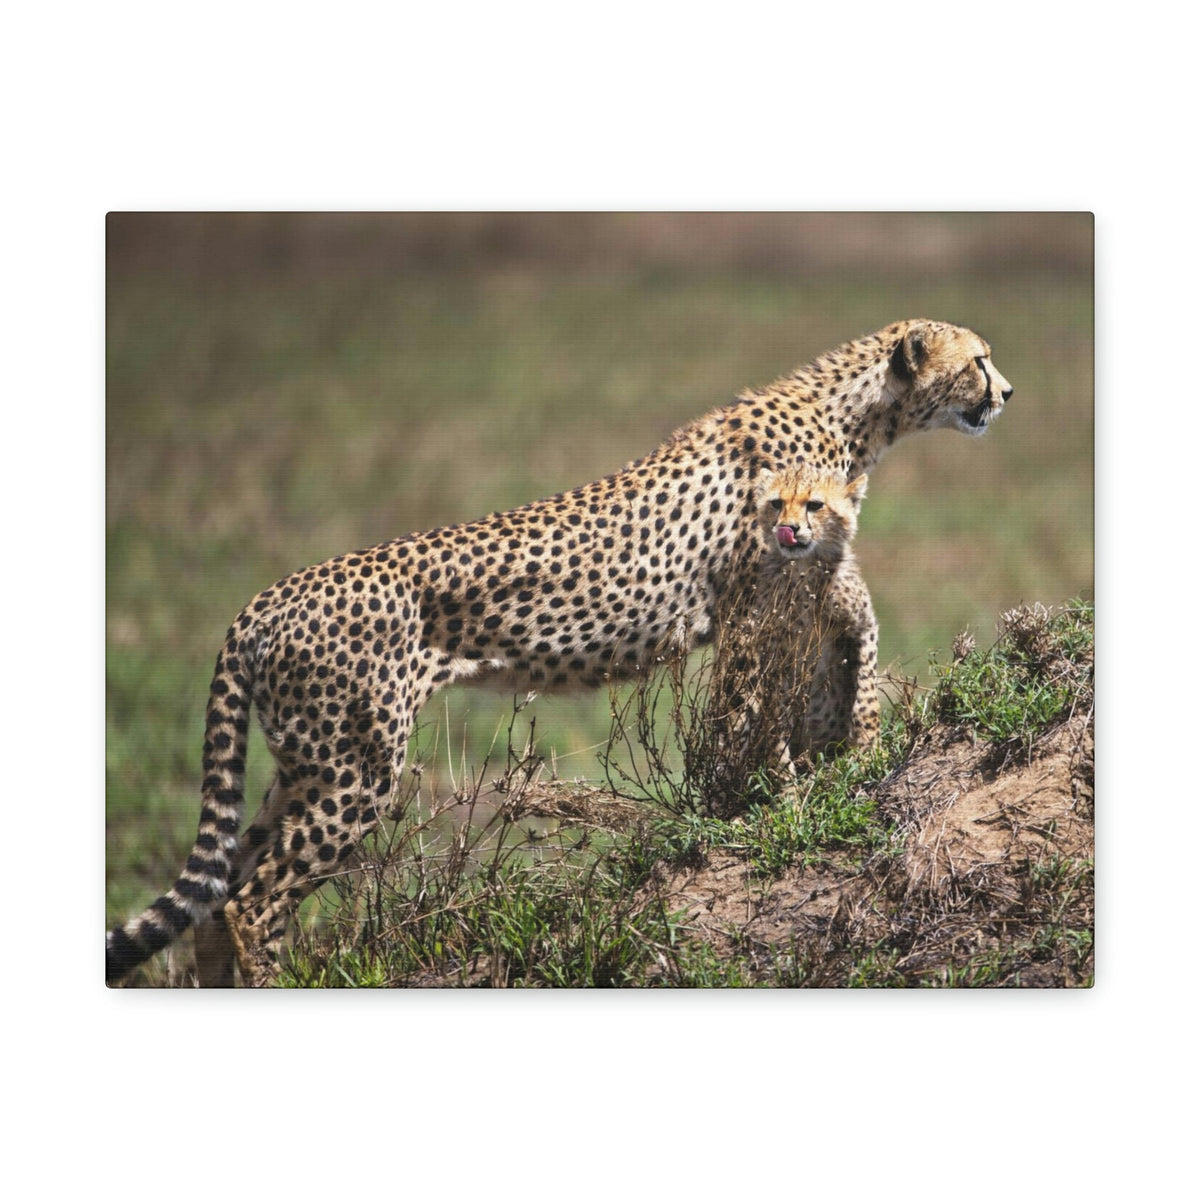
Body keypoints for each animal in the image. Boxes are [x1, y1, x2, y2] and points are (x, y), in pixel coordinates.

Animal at [106, 318, 1012, 986]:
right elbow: (753, 716)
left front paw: (838, 763)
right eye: (979, 359)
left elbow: (842, 654)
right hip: (355, 769)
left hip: (308, 763)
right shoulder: (755, 610)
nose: (1006, 392)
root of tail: (260, 601)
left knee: (221, 893)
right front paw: (765, 806)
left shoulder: (811, 579)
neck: (858, 413)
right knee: (251, 903)